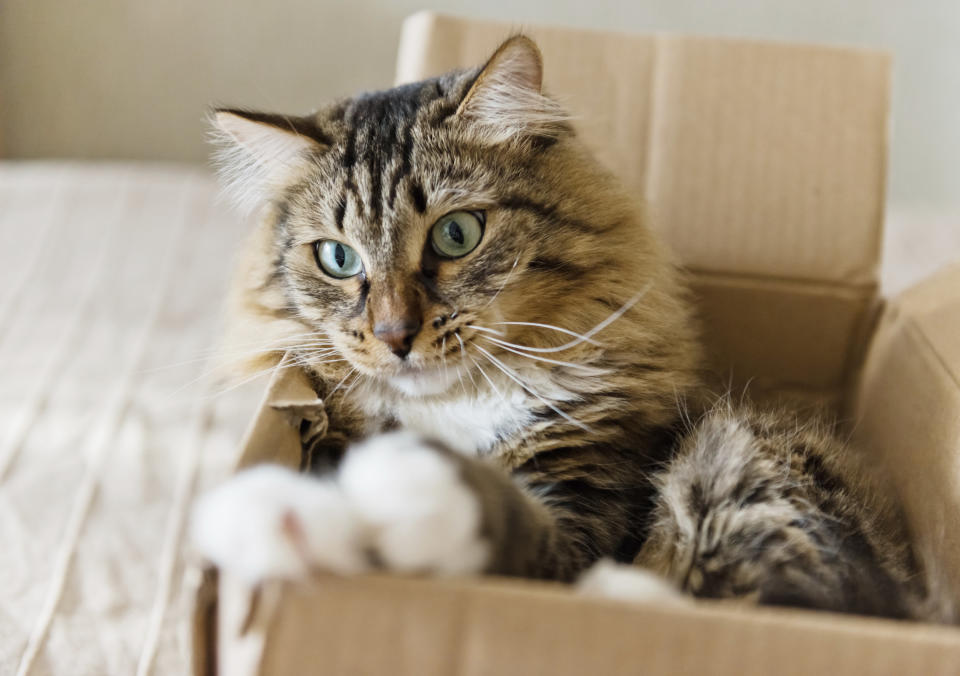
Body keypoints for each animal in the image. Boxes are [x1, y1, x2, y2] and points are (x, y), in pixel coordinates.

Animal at [191, 34, 948, 620]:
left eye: (457, 234)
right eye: (338, 257)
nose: (395, 335)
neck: (455, 407)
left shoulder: (587, 506)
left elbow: (511, 524)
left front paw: (407, 489)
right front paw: (275, 518)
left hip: (744, 453)